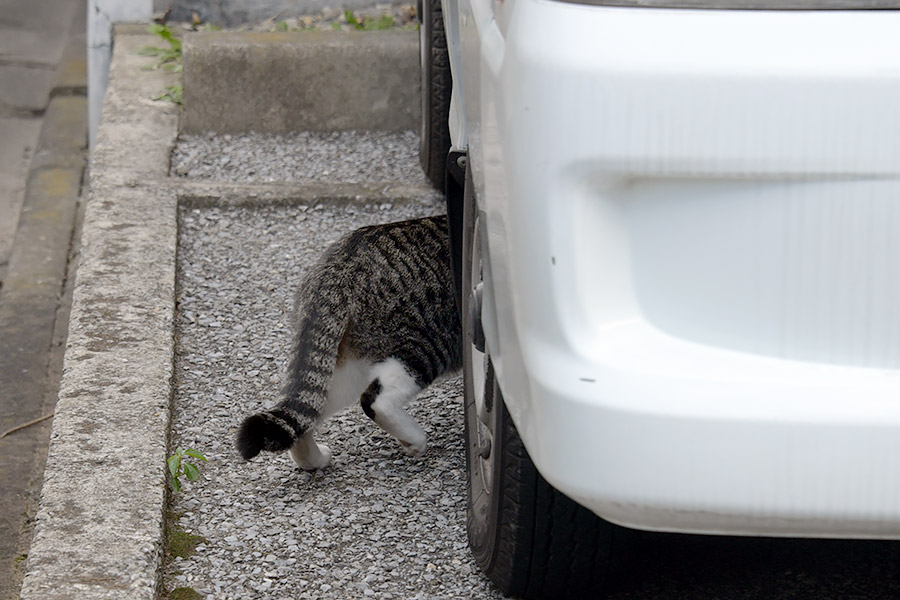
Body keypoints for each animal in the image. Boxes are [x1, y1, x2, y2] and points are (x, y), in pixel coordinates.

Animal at [236, 213, 460, 472]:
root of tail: (340, 266)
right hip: (429, 342)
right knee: (376, 399)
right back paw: (414, 440)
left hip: (344, 364)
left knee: (310, 409)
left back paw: (314, 460)